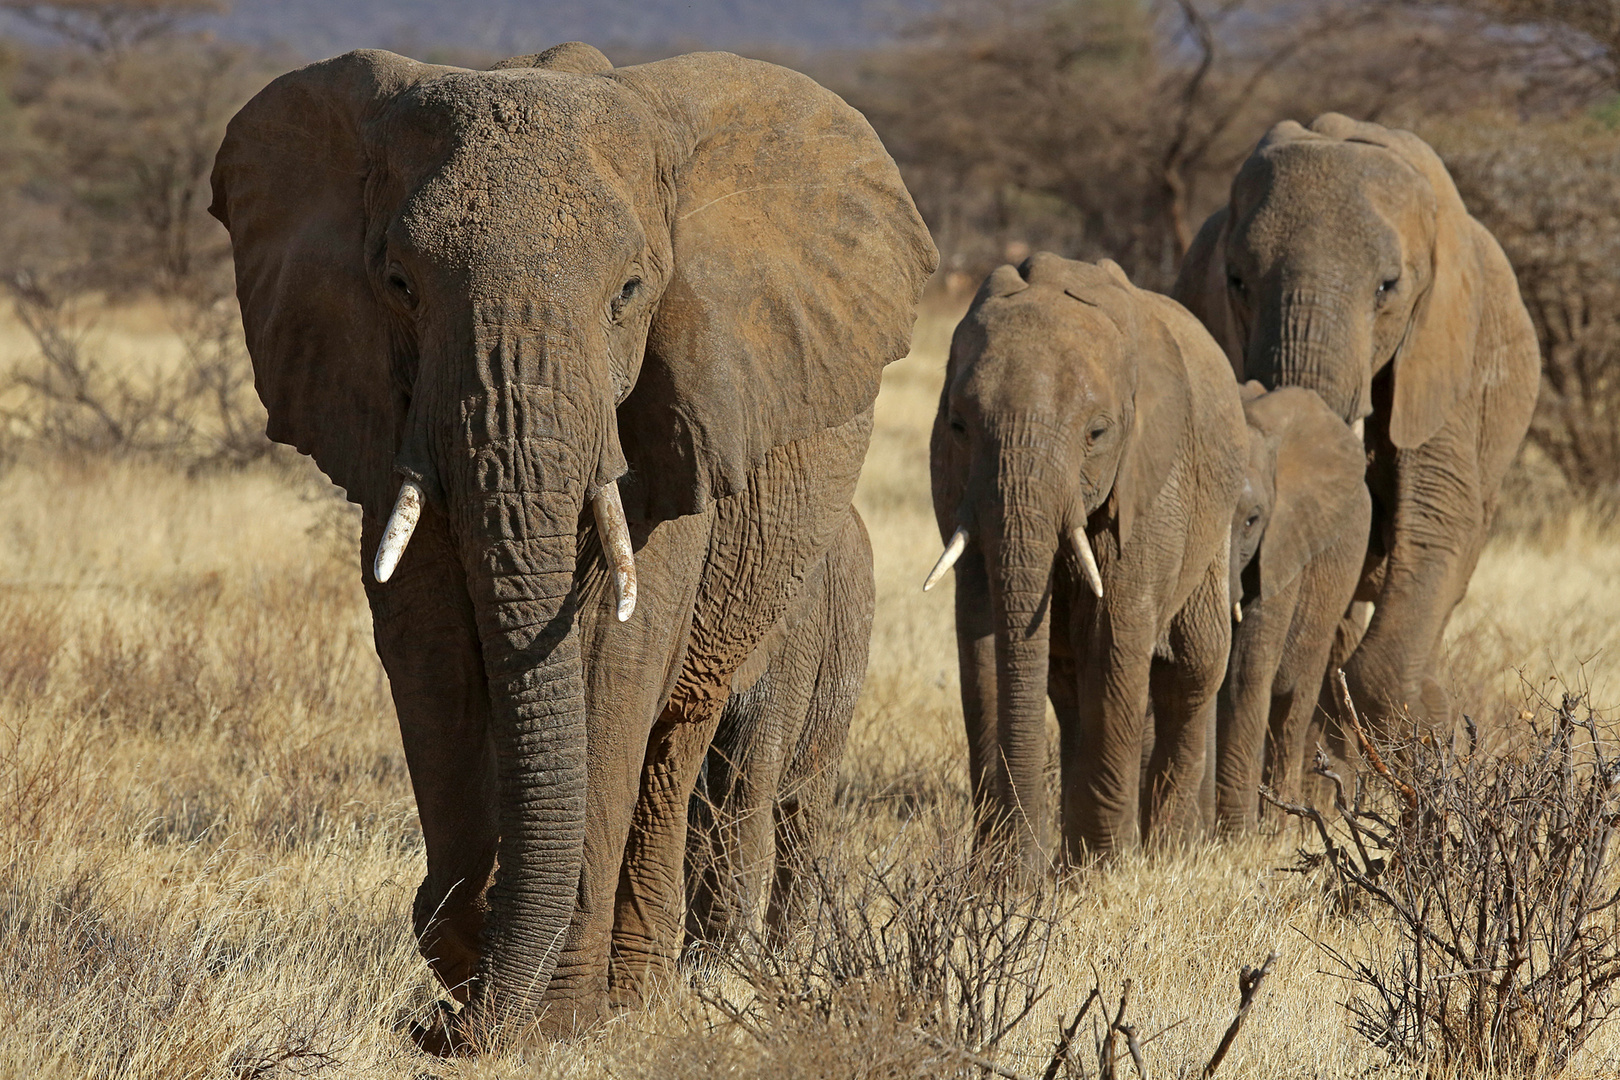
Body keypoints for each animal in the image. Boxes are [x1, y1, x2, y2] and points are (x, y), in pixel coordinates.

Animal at [212, 42, 939, 1049]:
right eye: (399, 285)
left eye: (629, 292)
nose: (431, 1028)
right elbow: (427, 646)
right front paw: (466, 955)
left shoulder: (676, 415)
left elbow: (611, 655)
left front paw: (550, 1020)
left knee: (682, 740)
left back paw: (637, 991)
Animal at [926, 250, 1250, 861]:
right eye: (957, 426)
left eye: (1097, 433)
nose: (1020, 866)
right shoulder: (960, 490)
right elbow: (981, 636)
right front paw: (1001, 876)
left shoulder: (1152, 486)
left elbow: (1114, 633)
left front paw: (1102, 872)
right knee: (1069, 684)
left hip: (1214, 525)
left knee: (1194, 667)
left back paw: (1170, 852)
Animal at [1218, 383, 1373, 835]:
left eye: (1252, 520)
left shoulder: (1284, 544)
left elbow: (1247, 667)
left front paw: (1236, 837)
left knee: (1294, 704)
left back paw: (1280, 826)